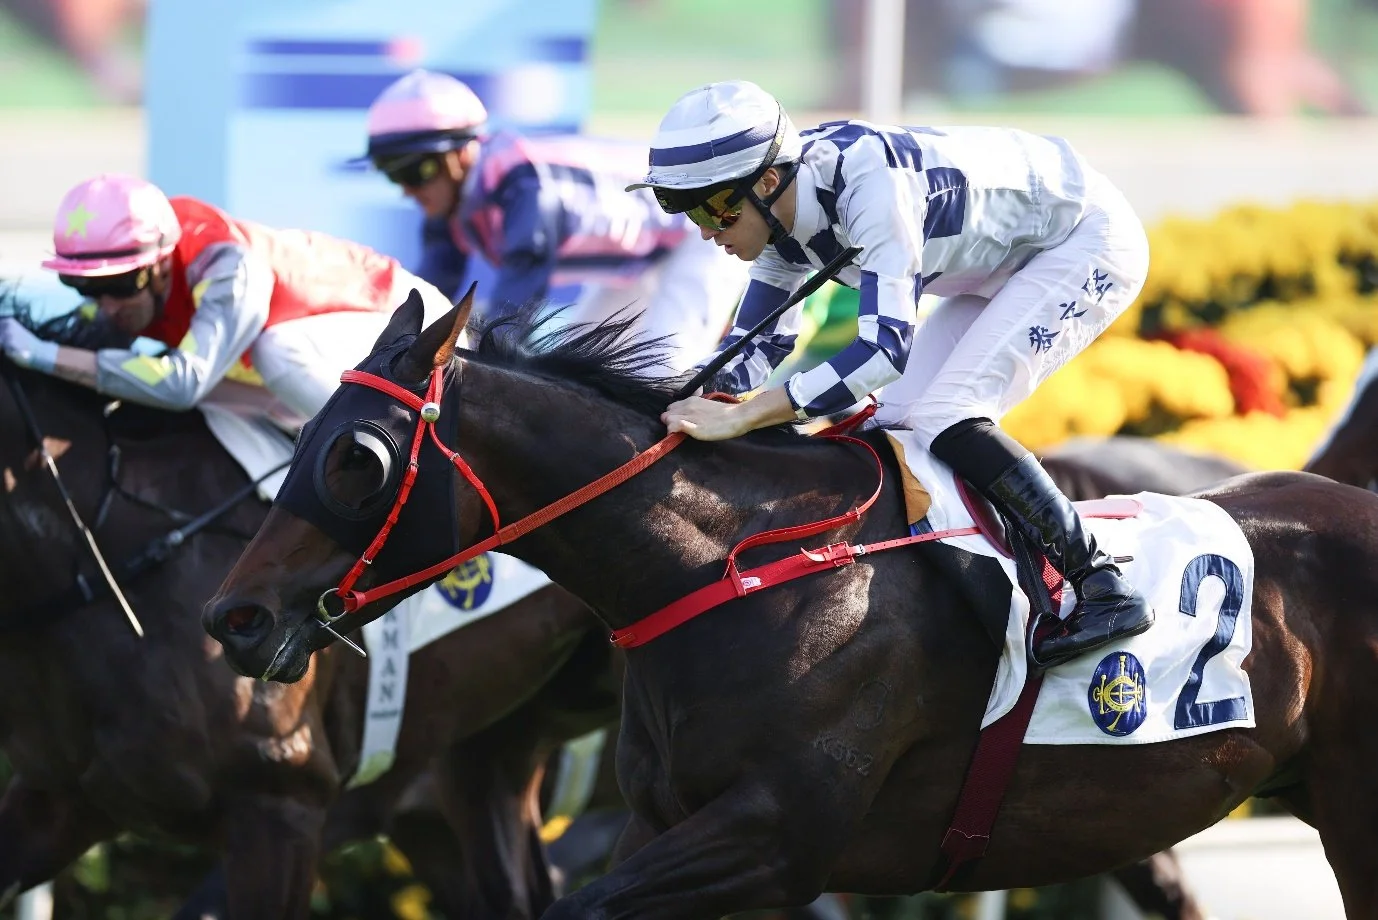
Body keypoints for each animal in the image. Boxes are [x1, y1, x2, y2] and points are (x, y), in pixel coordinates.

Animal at [206, 289, 1378, 919]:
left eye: (356, 459)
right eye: (301, 438)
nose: (235, 617)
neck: (736, 571)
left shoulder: (773, 832)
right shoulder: (674, 827)